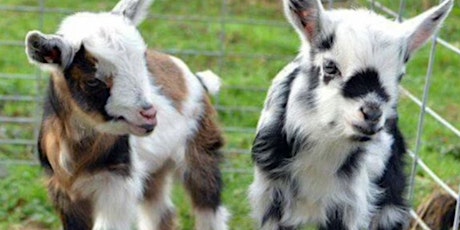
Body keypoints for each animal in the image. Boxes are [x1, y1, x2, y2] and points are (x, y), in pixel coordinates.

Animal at [24, 0, 229, 229]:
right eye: (92, 80)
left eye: (143, 62)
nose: (149, 114)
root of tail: (196, 79)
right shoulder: (64, 191)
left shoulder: (117, 184)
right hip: (154, 169)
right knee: (161, 212)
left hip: (201, 149)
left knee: (209, 209)